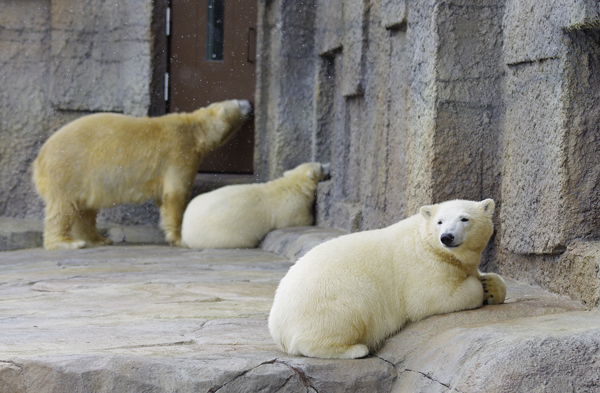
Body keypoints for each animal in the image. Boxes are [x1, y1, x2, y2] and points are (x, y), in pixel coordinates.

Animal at [31, 99, 252, 250]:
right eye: (238, 102)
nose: (249, 103)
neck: (194, 129)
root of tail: (39, 159)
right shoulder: (179, 153)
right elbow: (176, 195)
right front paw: (180, 238)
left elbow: (163, 199)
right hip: (69, 169)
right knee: (63, 207)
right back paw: (68, 242)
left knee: (86, 210)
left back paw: (99, 239)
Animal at [180, 162, 330, 248]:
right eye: (321, 166)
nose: (329, 165)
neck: (293, 184)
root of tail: (184, 230)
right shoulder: (291, 205)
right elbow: (298, 220)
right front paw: (311, 218)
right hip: (220, 236)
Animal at [268, 199, 506, 358]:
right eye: (440, 222)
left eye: (465, 218)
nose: (447, 237)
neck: (427, 241)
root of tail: (277, 327)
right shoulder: (422, 265)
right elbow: (429, 298)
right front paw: (479, 288)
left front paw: (490, 286)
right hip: (331, 298)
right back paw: (356, 349)